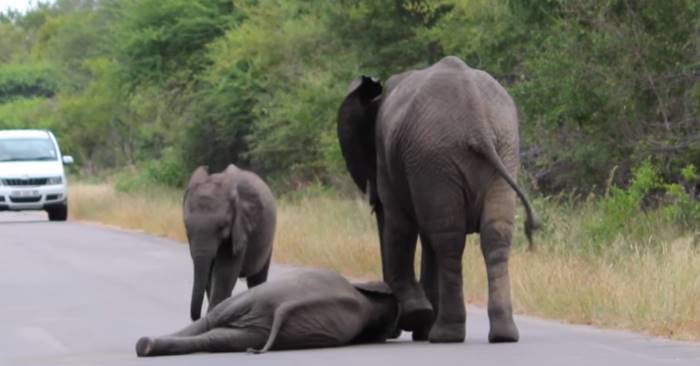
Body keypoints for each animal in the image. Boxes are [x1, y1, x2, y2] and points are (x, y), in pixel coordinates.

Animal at [135, 268, 400, 356]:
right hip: (262, 301)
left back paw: (145, 346)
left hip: (262, 314)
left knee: (214, 331)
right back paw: (144, 346)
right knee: (213, 323)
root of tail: (285, 306)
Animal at [183, 164, 276, 322]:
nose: (197, 317)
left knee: (257, 278)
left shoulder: (240, 228)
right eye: (186, 228)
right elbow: (210, 273)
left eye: (222, 226)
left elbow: (224, 272)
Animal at [336, 55, 540, 344]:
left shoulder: (389, 159)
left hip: (438, 156)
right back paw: (502, 335)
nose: (391, 331)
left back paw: (445, 335)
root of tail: (476, 119)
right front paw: (420, 325)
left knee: (447, 241)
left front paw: (417, 318)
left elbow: (399, 226)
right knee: (493, 234)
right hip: (498, 150)